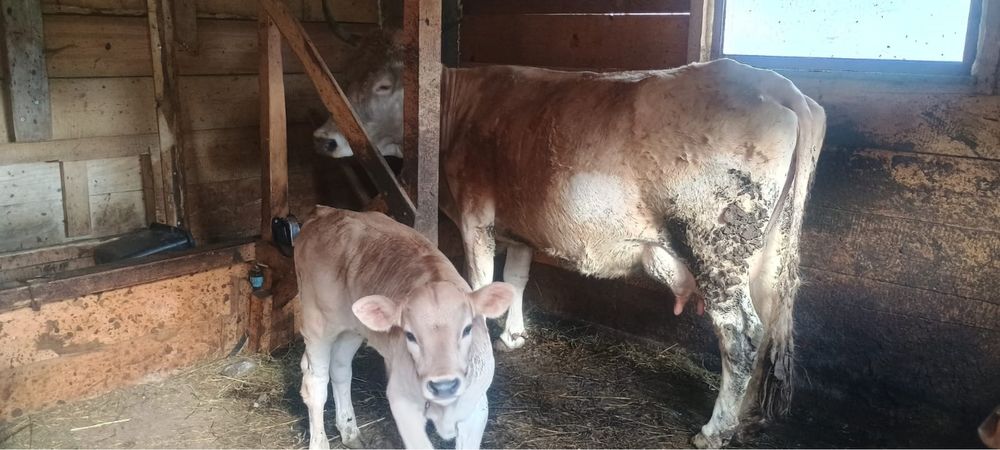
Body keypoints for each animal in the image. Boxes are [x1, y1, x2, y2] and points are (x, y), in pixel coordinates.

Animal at [294, 205, 515, 449]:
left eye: (467, 329)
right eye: (410, 335)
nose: (444, 385)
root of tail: (326, 212)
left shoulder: (476, 408)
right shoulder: (402, 403)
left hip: (352, 328)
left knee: (340, 368)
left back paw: (350, 431)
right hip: (317, 322)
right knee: (315, 383)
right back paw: (321, 441)